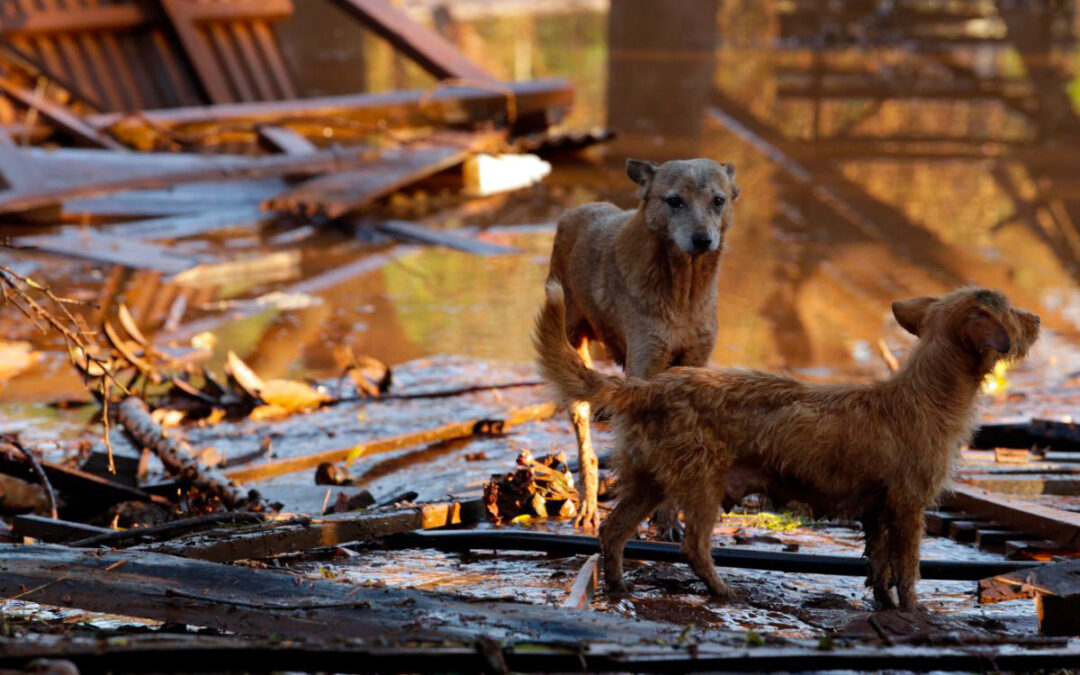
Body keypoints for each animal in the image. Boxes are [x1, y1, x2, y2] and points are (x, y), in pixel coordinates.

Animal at [535, 280, 1041, 609]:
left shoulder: (878, 511)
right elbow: (909, 569)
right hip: (701, 484)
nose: (1036, 317)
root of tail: (648, 387)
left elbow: (879, 567)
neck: (928, 392)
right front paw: (915, 612)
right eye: (1010, 310)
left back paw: (619, 587)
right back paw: (724, 591)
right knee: (693, 545)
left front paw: (885, 605)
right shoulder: (908, 506)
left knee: (612, 531)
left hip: (649, 479)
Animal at [548, 157, 734, 531]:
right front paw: (663, 520)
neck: (683, 298)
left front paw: (672, 518)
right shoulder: (646, 368)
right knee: (586, 447)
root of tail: (575, 210)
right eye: (674, 201)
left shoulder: (695, 363)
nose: (702, 239)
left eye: (718, 200)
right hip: (574, 361)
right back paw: (588, 506)